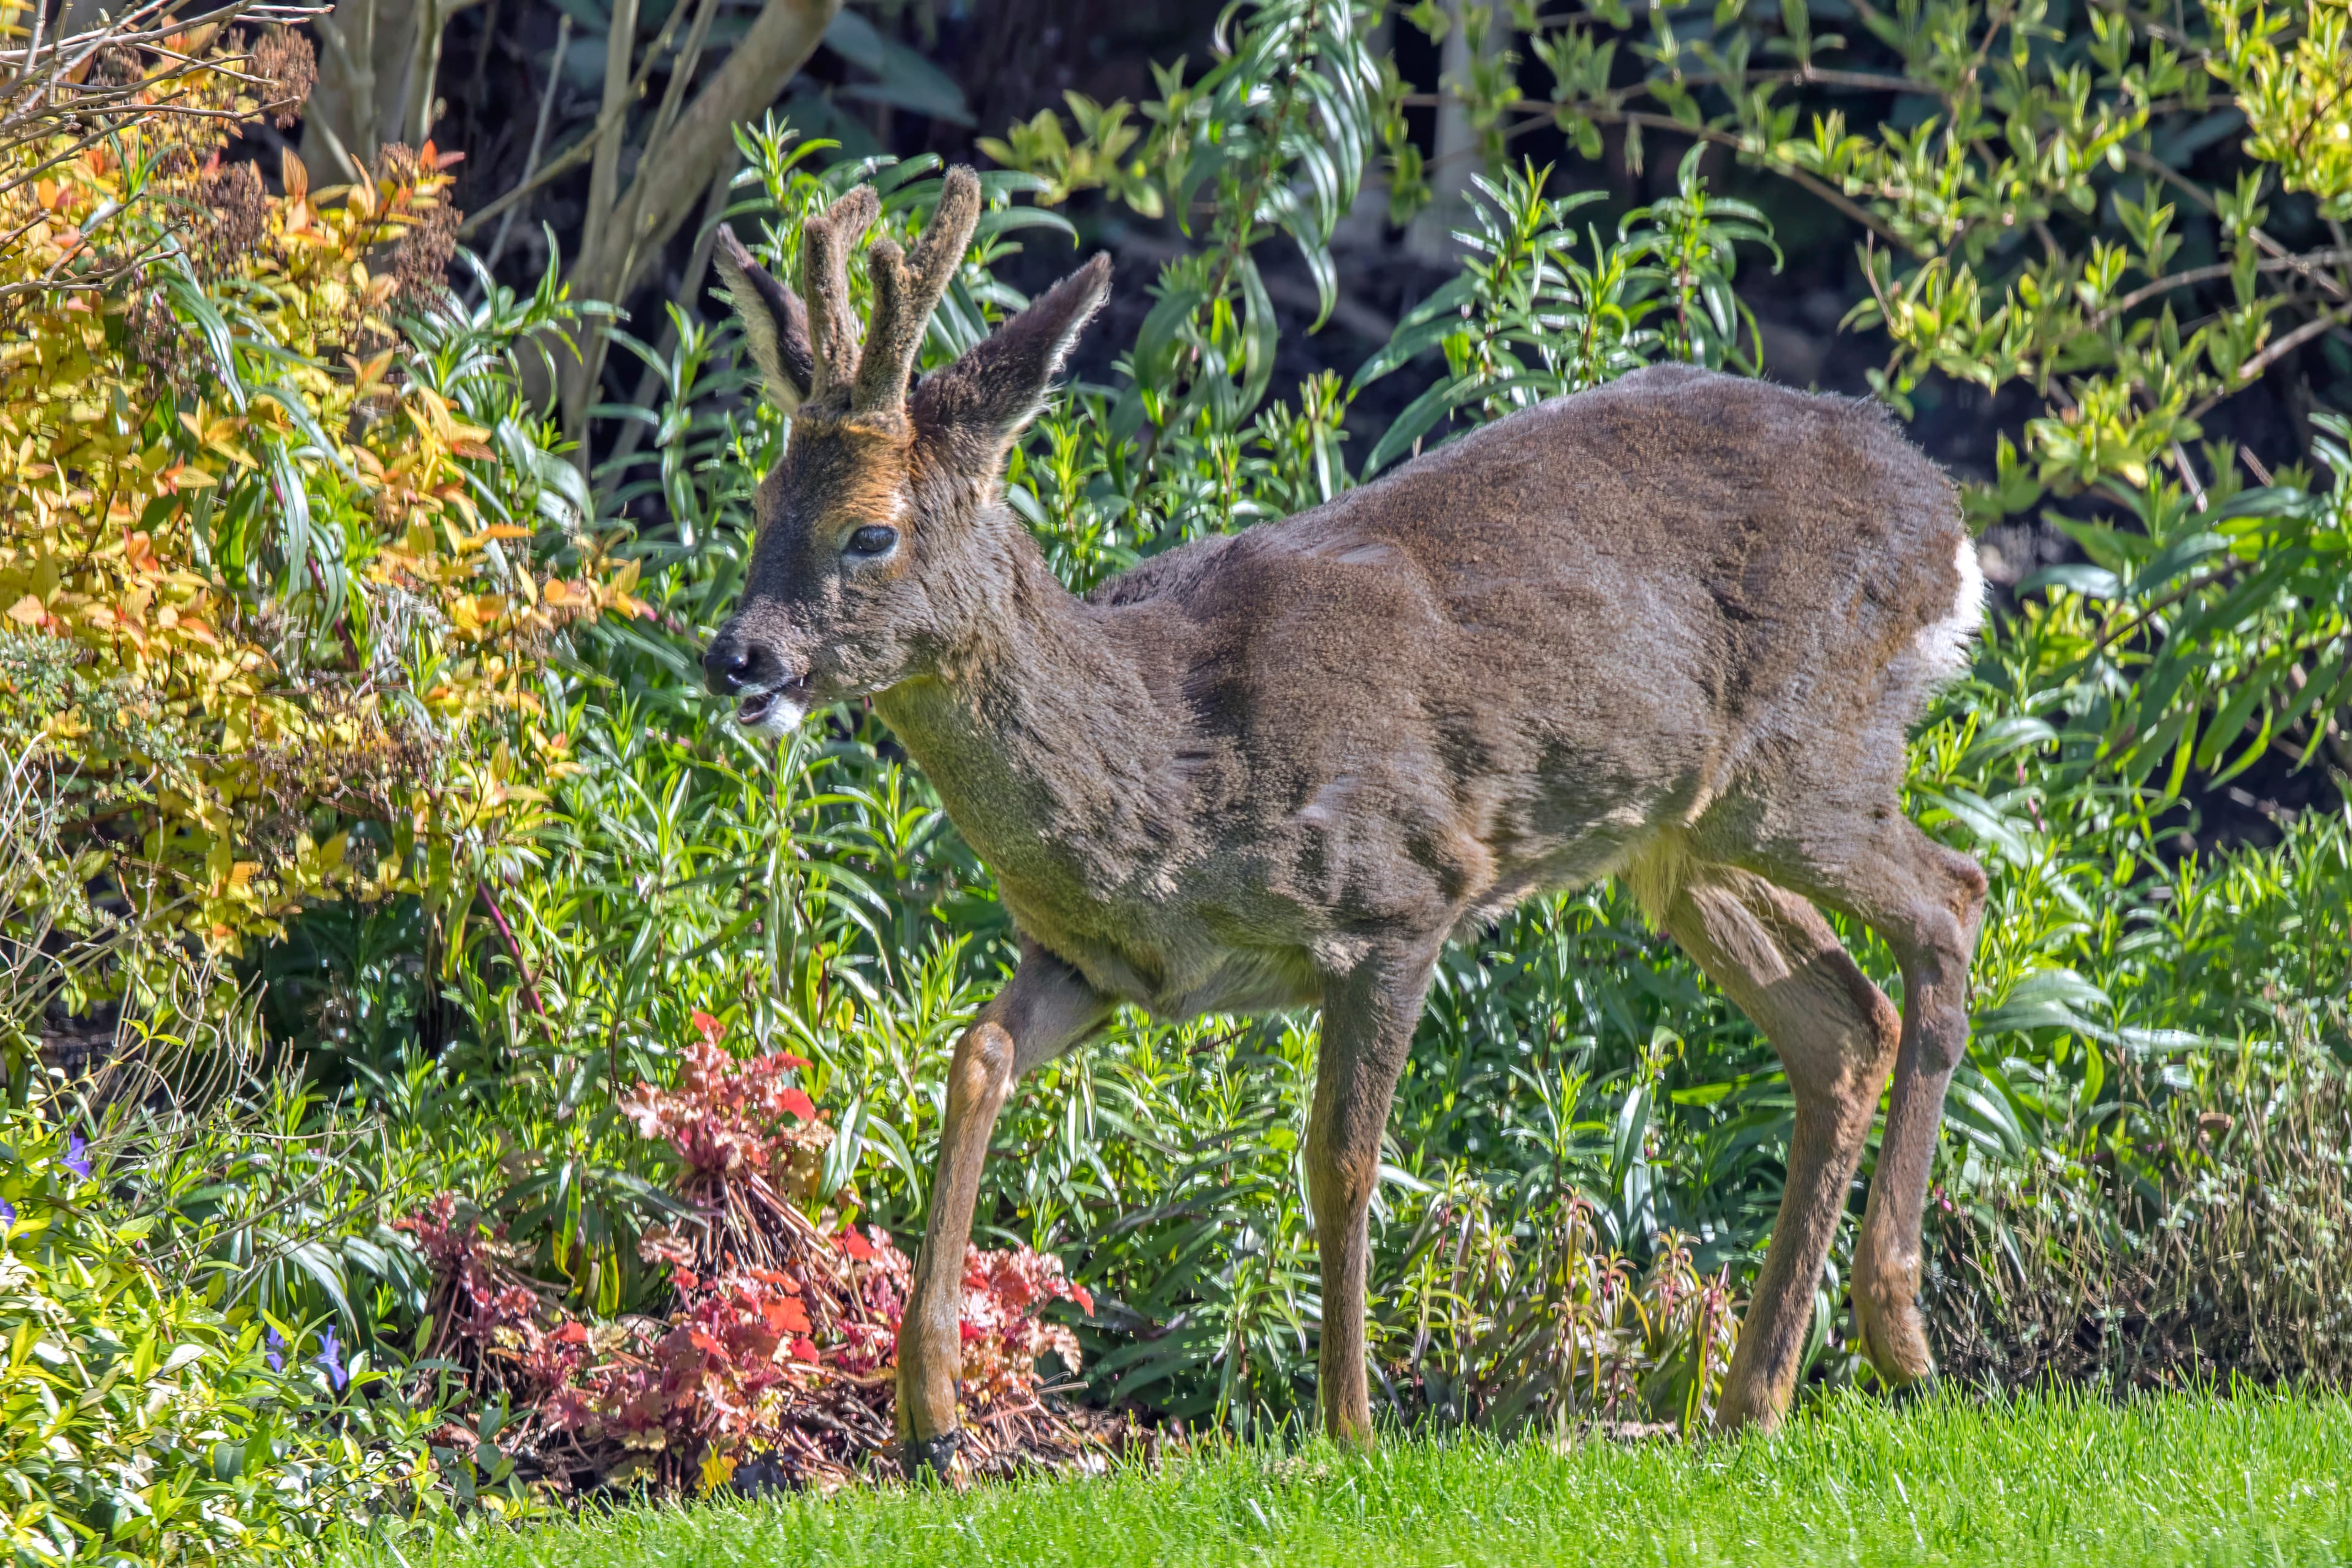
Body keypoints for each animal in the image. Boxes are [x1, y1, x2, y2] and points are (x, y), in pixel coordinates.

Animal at [701, 168, 1988, 1471]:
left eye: (871, 531)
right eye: (759, 501)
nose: (736, 656)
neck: (1168, 774)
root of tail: (1948, 520)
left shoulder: (1403, 893)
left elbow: (1341, 1160)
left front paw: (1353, 1429)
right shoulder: (1100, 962)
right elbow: (975, 1059)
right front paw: (933, 1419)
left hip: (1804, 761)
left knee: (1953, 899)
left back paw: (1899, 1331)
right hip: (1678, 840)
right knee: (1845, 1024)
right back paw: (1749, 1404)